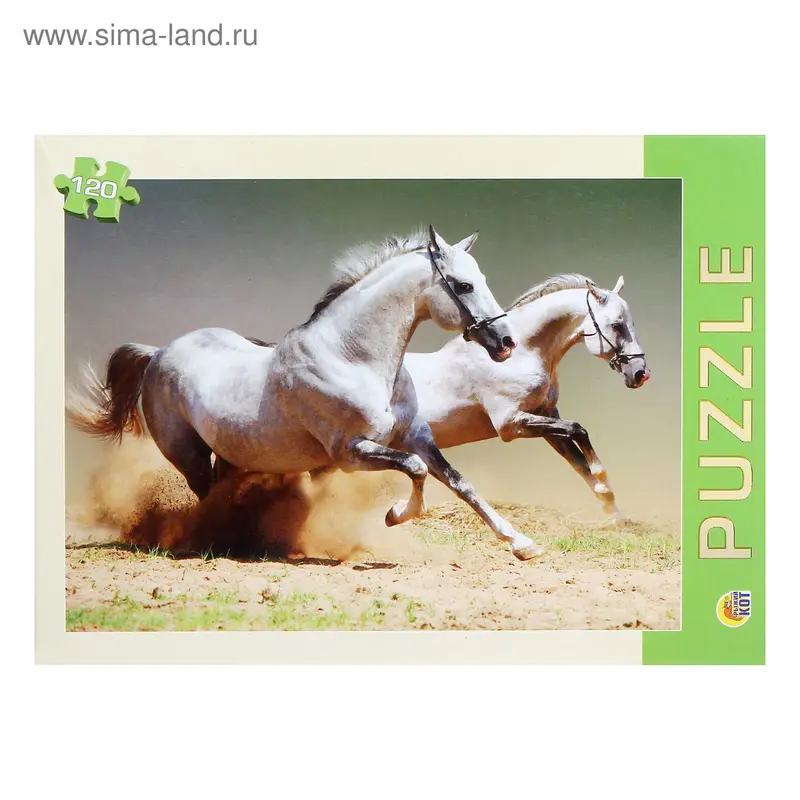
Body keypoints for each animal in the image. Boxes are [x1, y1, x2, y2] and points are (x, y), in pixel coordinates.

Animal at [67, 226, 547, 561]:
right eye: (463, 285)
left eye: (480, 278)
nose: (506, 342)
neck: (352, 358)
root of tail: (157, 353)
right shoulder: (350, 452)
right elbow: (414, 470)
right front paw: (395, 515)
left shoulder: (416, 436)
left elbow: (458, 481)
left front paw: (522, 543)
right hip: (188, 455)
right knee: (206, 498)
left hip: (232, 454)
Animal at [252, 273, 649, 520]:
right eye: (616, 325)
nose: (640, 373)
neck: (523, 352)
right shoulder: (513, 425)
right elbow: (579, 431)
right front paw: (604, 482)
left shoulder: (545, 415)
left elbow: (577, 457)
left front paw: (614, 513)